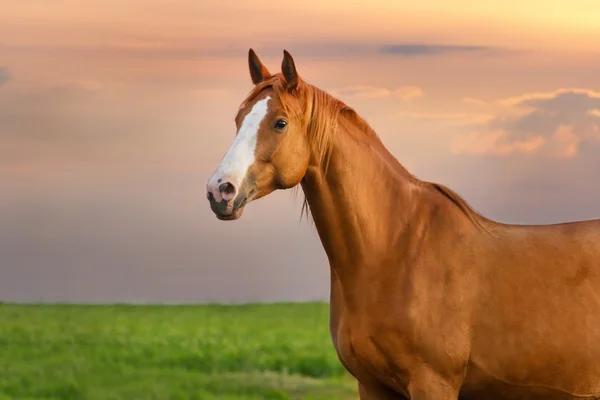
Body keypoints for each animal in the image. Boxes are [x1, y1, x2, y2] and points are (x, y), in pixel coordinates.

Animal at [206, 50, 600, 400]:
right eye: (239, 119)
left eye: (280, 122)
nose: (219, 190)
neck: (396, 249)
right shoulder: (372, 386)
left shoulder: (433, 384)